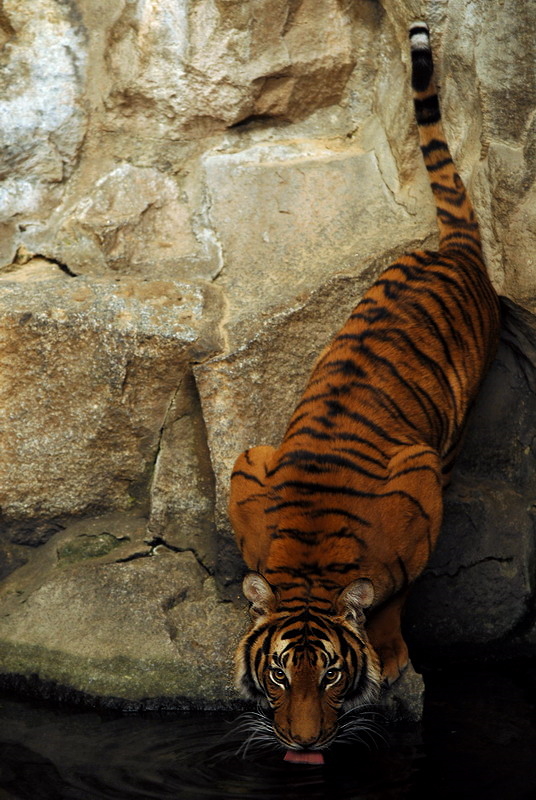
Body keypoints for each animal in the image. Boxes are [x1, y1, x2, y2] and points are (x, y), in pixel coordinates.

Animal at [229, 22, 500, 757]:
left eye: (328, 676)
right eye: (277, 675)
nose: (303, 745)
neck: (309, 564)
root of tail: (453, 250)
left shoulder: (418, 495)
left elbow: (391, 602)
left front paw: (390, 659)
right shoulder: (250, 466)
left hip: (449, 441)